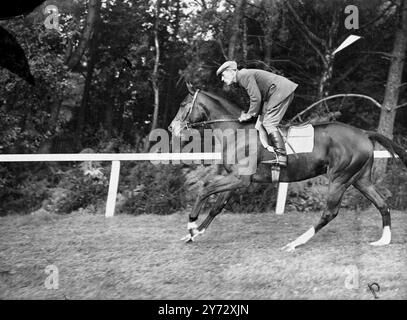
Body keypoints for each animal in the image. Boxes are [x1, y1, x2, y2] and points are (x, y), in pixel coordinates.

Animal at [169, 85, 407, 252]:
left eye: (182, 104)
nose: (172, 128)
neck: (236, 131)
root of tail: (364, 133)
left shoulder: (240, 178)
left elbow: (205, 189)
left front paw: (191, 225)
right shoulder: (236, 179)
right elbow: (217, 206)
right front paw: (194, 234)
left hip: (340, 178)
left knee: (329, 212)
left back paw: (295, 243)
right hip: (360, 179)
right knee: (382, 204)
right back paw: (383, 240)